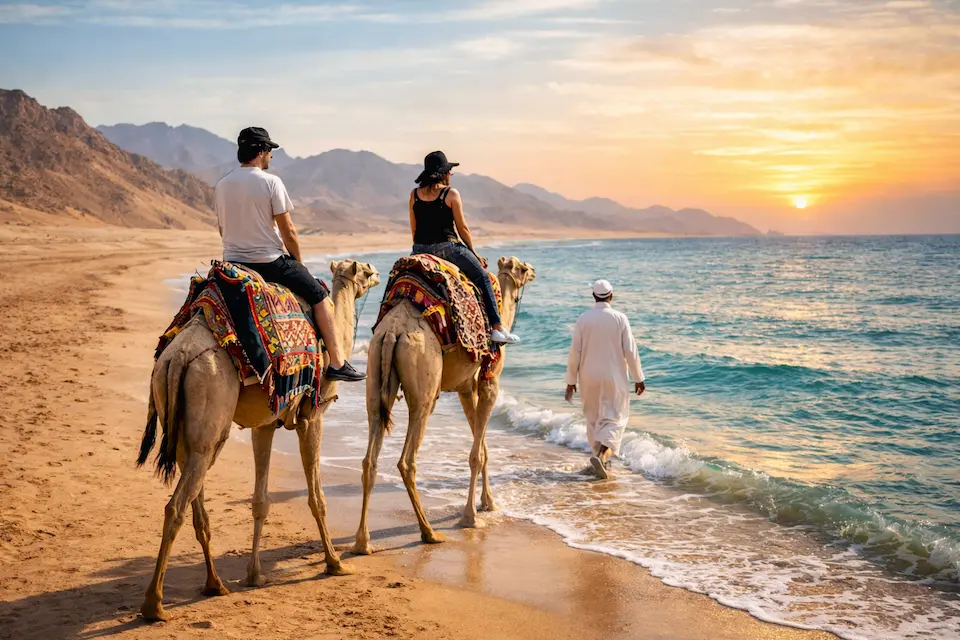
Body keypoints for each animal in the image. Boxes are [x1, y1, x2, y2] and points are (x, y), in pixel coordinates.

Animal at [136, 259, 380, 622]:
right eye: (363, 270)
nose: (378, 271)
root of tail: (177, 357)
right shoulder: (313, 417)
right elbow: (317, 498)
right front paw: (335, 563)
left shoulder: (264, 424)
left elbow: (260, 501)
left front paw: (254, 575)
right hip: (210, 415)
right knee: (175, 507)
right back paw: (154, 604)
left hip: (185, 435)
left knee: (195, 504)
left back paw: (215, 584)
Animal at [352, 256, 536, 554]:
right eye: (521, 267)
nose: (533, 270)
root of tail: (393, 331)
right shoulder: (489, 383)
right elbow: (476, 454)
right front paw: (470, 517)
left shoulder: (466, 388)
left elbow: (482, 447)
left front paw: (488, 502)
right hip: (423, 387)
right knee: (407, 460)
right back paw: (429, 532)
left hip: (375, 373)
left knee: (370, 458)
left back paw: (363, 542)